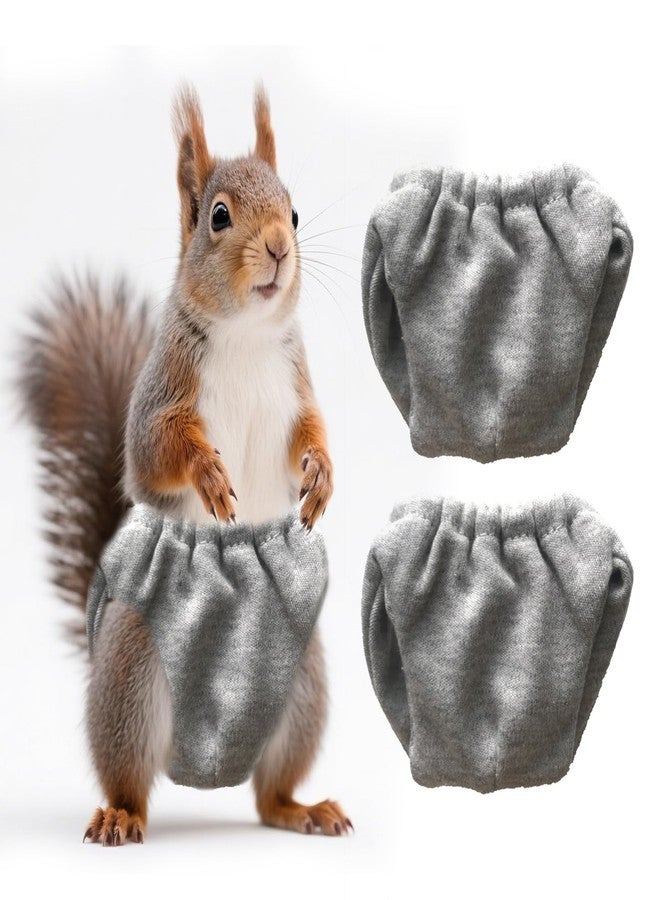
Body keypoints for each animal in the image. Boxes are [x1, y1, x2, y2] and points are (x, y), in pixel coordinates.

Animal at [19, 84, 351, 846]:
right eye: (218, 216)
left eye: (293, 210)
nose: (280, 247)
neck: (246, 335)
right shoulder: (163, 395)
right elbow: (156, 453)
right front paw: (208, 477)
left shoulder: (297, 390)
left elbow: (309, 438)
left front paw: (322, 477)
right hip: (132, 673)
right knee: (130, 774)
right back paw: (120, 814)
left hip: (302, 682)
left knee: (268, 793)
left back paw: (301, 808)